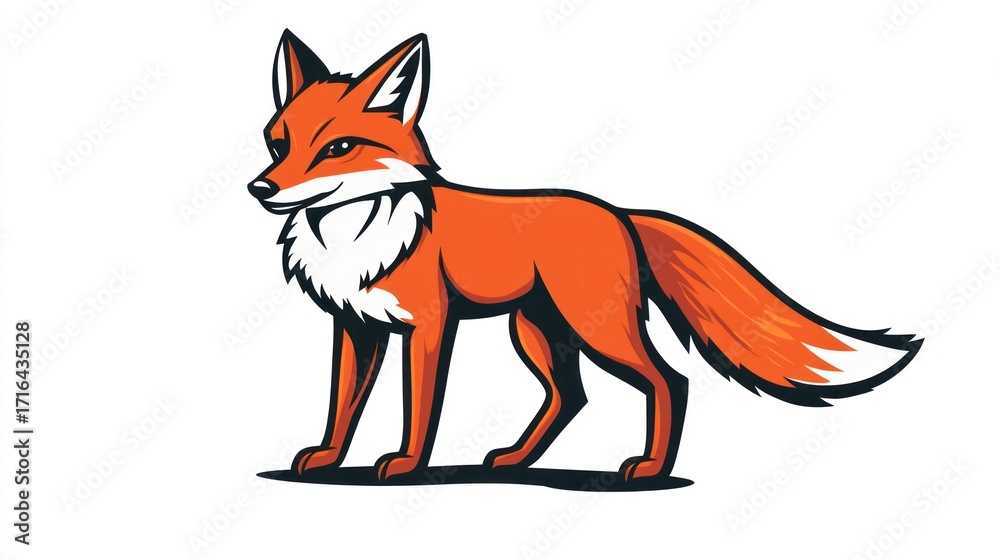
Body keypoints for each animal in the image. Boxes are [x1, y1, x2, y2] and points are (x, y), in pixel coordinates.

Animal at [247, 30, 921, 483]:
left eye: (338, 148)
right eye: (278, 144)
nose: (261, 188)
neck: (352, 236)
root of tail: (618, 211)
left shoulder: (429, 326)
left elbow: (420, 409)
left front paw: (408, 463)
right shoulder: (357, 327)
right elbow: (341, 406)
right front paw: (327, 459)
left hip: (596, 328)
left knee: (668, 380)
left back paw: (649, 468)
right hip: (538, 331)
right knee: (571, 397)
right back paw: (516, 459)